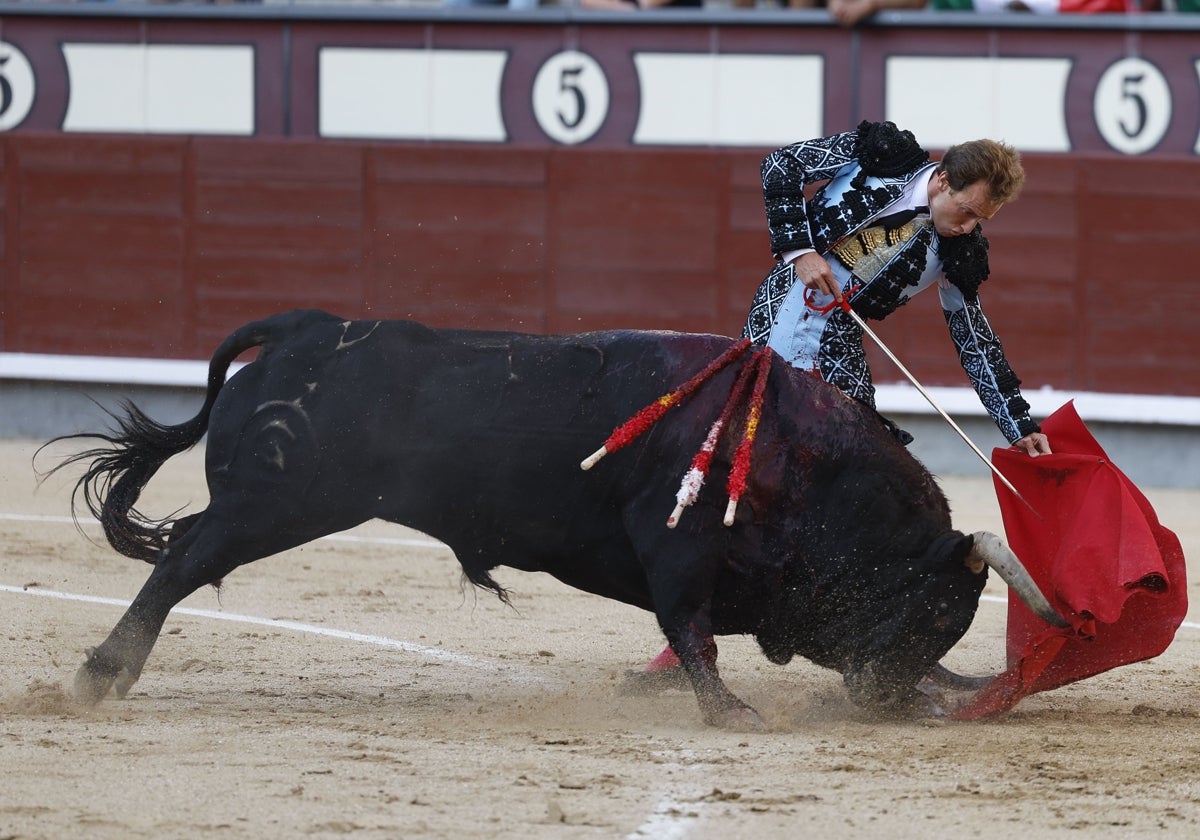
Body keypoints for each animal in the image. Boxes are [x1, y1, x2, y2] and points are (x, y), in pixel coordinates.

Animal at [51, 309, 1065, 729]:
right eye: (935, 608)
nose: (890, 698)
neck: (807, 467)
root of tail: (307, 327)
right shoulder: (678, 550)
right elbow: (691, 631)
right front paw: (731, 713)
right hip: (275, 504)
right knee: (183, 558)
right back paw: (101, 675)